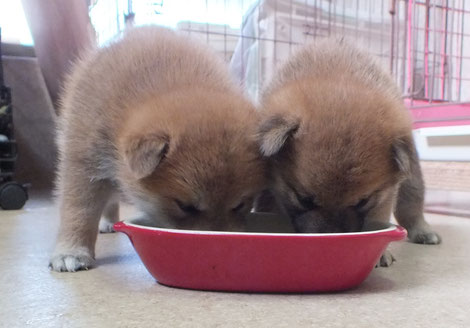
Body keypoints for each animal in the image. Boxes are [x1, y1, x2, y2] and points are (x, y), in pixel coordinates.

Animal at [50, 26, 268, 272]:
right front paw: (71, 251)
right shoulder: (84, 164)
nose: (217, 244)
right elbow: (79, 210)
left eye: (240, 205)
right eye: (185, 206)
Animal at [258, 39, 440, 266]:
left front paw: (380, 253)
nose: (330, 243)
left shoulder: (385, 195)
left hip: (411, 175)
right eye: (304, 200)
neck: (337, 74)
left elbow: (379, 218)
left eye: (362, 202)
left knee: (412, 203)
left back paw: (422, 230)